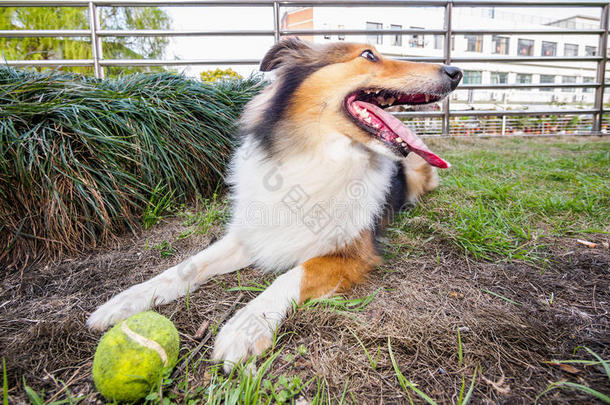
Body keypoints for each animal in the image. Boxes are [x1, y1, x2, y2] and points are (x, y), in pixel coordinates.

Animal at [86, 39, 460, 370]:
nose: (455, 71)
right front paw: (127, 300)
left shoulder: (355, 252)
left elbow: (294, 274)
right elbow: (186, 267)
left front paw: (246, 325)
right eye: (368, 55)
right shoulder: (253, 234)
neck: (316, 157)